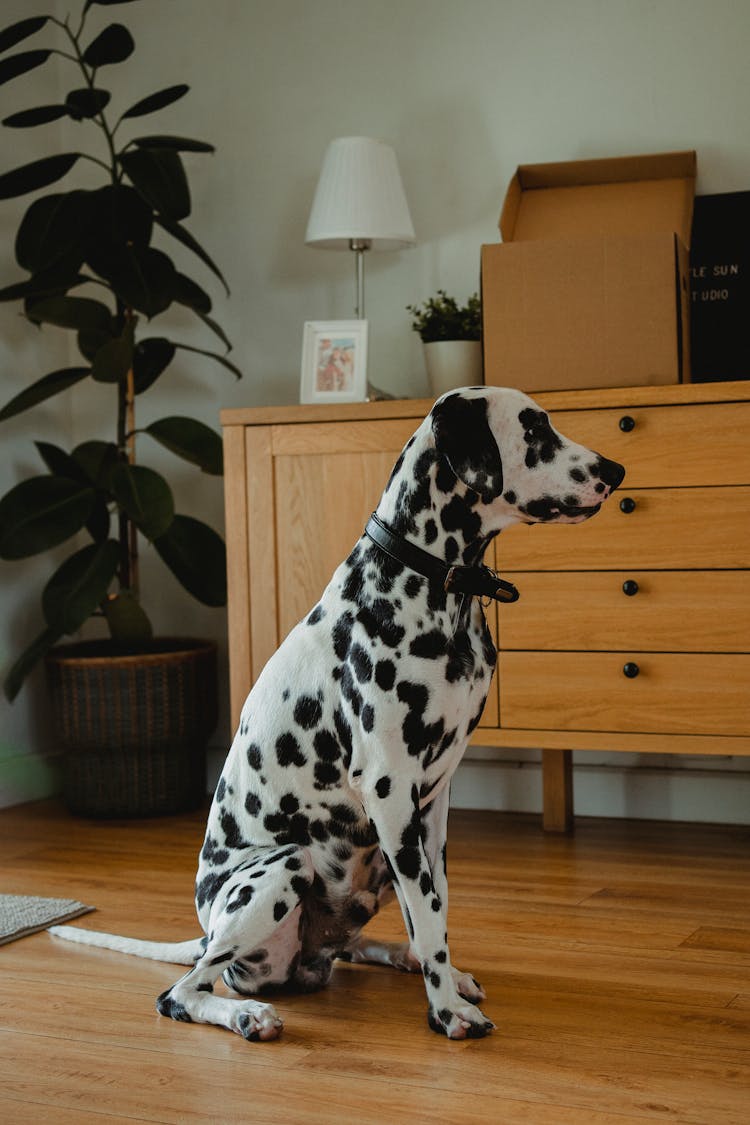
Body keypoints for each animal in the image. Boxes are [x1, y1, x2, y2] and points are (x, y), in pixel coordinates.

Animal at [49, 391, 629, 1039]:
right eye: (535, 430)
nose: (616, 471)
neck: (429, 587)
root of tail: (205, 928)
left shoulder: (432, 804)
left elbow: (435, 908)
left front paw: (445, 980)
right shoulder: (390, 789)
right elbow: (429, 912)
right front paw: (447, 1012)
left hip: (373, 863)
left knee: (354, 946)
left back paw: (403, 960)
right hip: (283, 866)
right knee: (182, 990)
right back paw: (247, 1014)